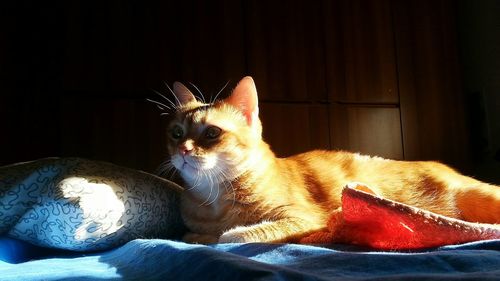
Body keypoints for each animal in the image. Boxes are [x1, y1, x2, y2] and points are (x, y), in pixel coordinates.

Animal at [161, 76, 500, 243]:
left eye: (212, 133)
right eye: (176, 133)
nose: (184, 150)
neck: (214, 200)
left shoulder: (306, 219)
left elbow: (237, 236)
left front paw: (228, 234)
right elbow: (192, 235)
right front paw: (204, 235)